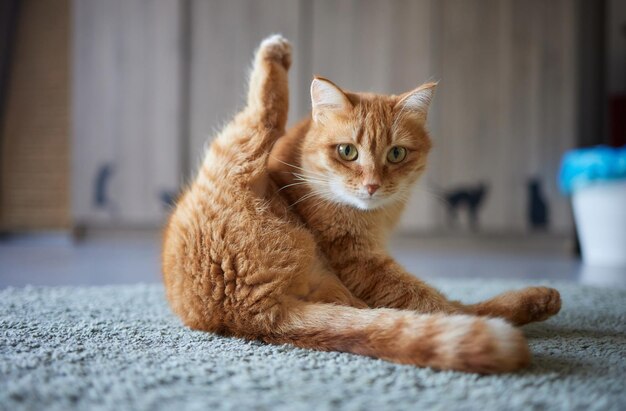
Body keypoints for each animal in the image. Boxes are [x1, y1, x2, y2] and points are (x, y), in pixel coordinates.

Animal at [161, 35, 560, 374]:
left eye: (396, 154)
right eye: (347, 151)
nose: (372, 185)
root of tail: (245, 309)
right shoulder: (358, 259)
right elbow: (422, 298)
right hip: (235, 148)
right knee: (267, 111)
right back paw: (275, 52)